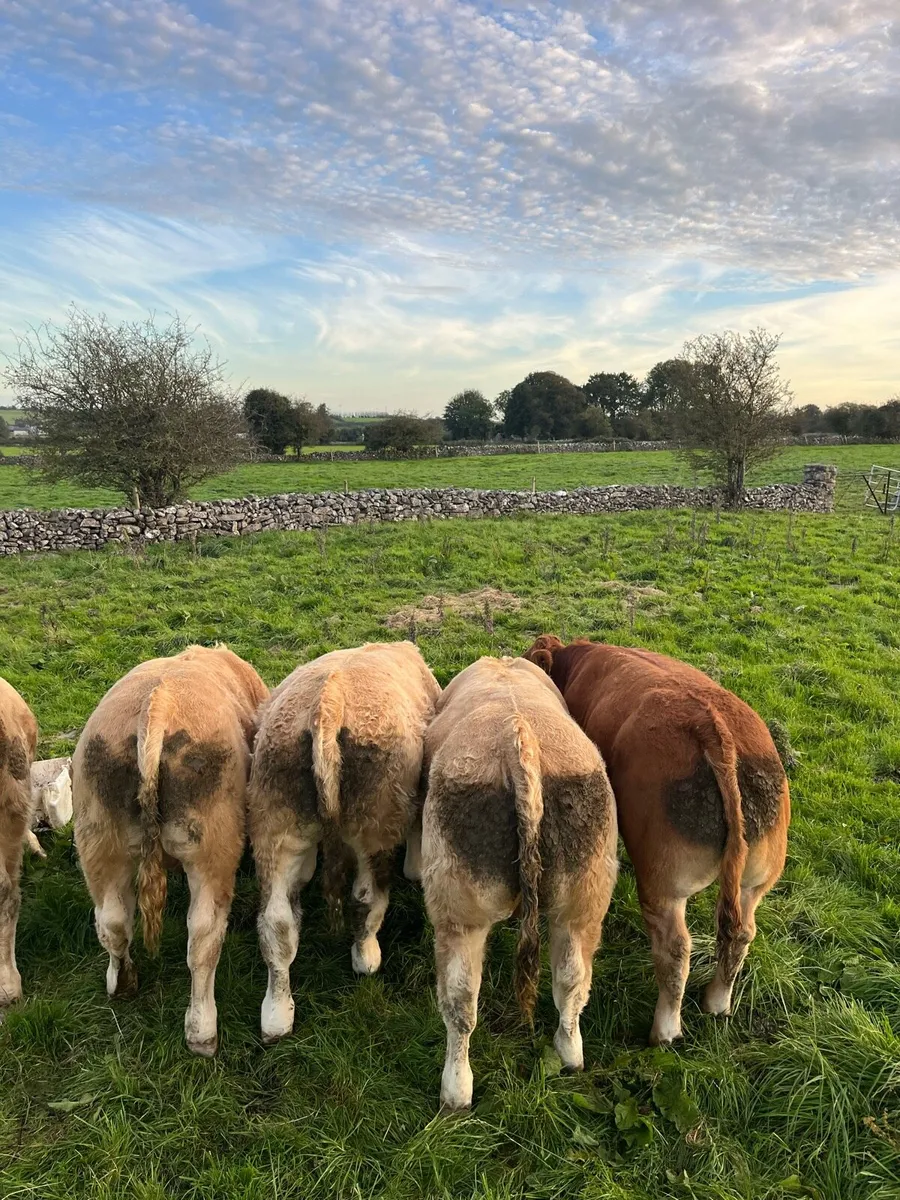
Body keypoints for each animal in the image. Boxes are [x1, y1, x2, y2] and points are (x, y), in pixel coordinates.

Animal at [72, 644, 268, 1055]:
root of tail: (156, 707)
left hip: (99, 838)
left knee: (113, 920)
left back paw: (122, 983)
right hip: (211, 847)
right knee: (204, 938)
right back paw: (202, 1031)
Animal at [248, 641, 441, 1044]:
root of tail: (329, 703)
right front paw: (415, 868)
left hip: (275, 815)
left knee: (276, 923)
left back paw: (277, 1014)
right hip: (374, 817)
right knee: (366, 899)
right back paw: (365, 956)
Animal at [421, 655, 618, 1110]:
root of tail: (519, 739)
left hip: (458, 911)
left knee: (459, 1001)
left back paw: (455, 1091)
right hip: (582, 900)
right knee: (572, 980)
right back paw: (570, 1053)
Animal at [523, 635, 790, 1047]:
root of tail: (716, 729)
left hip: (664, 883)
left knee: (675, 950)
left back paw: (664, 1030)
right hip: (757, 878)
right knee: (741, 932)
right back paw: (717, 1002)